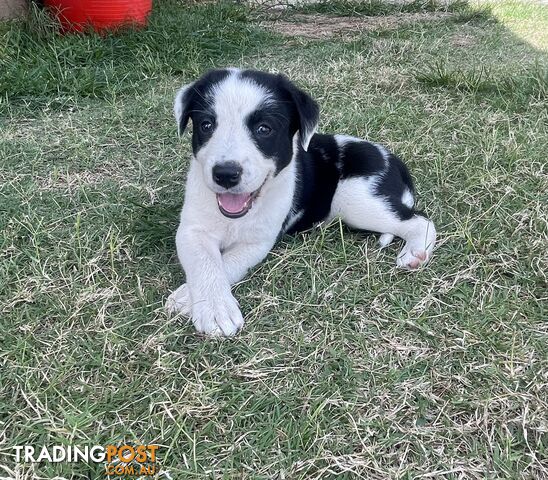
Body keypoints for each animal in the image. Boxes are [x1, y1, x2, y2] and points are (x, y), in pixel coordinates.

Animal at [167, 68, 436, 338]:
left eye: (264, 129)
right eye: (206, 125)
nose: (225, 174)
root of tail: (392, 160)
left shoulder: (259, 242)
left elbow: (227, 263)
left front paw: (197, 301)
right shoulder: (192, 230)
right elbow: (206, 262)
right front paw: (209, 304)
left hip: (359, 201)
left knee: (419, 221)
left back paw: (414, 253)